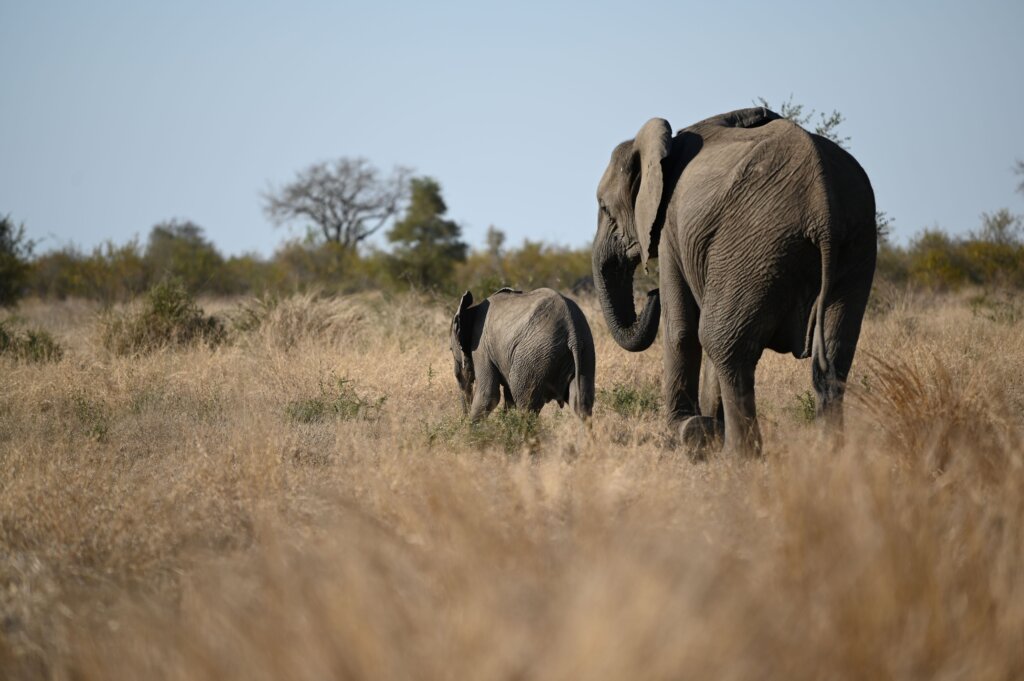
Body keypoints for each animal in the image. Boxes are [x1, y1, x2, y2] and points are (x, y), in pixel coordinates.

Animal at [452, 286, 598, 419]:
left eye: (451, 350)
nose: (463, 418)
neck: (470, 309)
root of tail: (572, 333)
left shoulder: (481, 345)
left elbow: (488, 395)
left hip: (535, 356)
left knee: (526, 405)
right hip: (586, 352)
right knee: (581, 403)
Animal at [598, 107, 876, 456]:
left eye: (604, 208)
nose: (650, 293)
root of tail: (823, 210)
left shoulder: (671, 228)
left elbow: (681, 330)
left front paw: (689, 430)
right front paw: (706, 427)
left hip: (757, 242)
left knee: (722, 341)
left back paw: (736, 456)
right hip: (855, 246)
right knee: (835, 354)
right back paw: (829, 456)